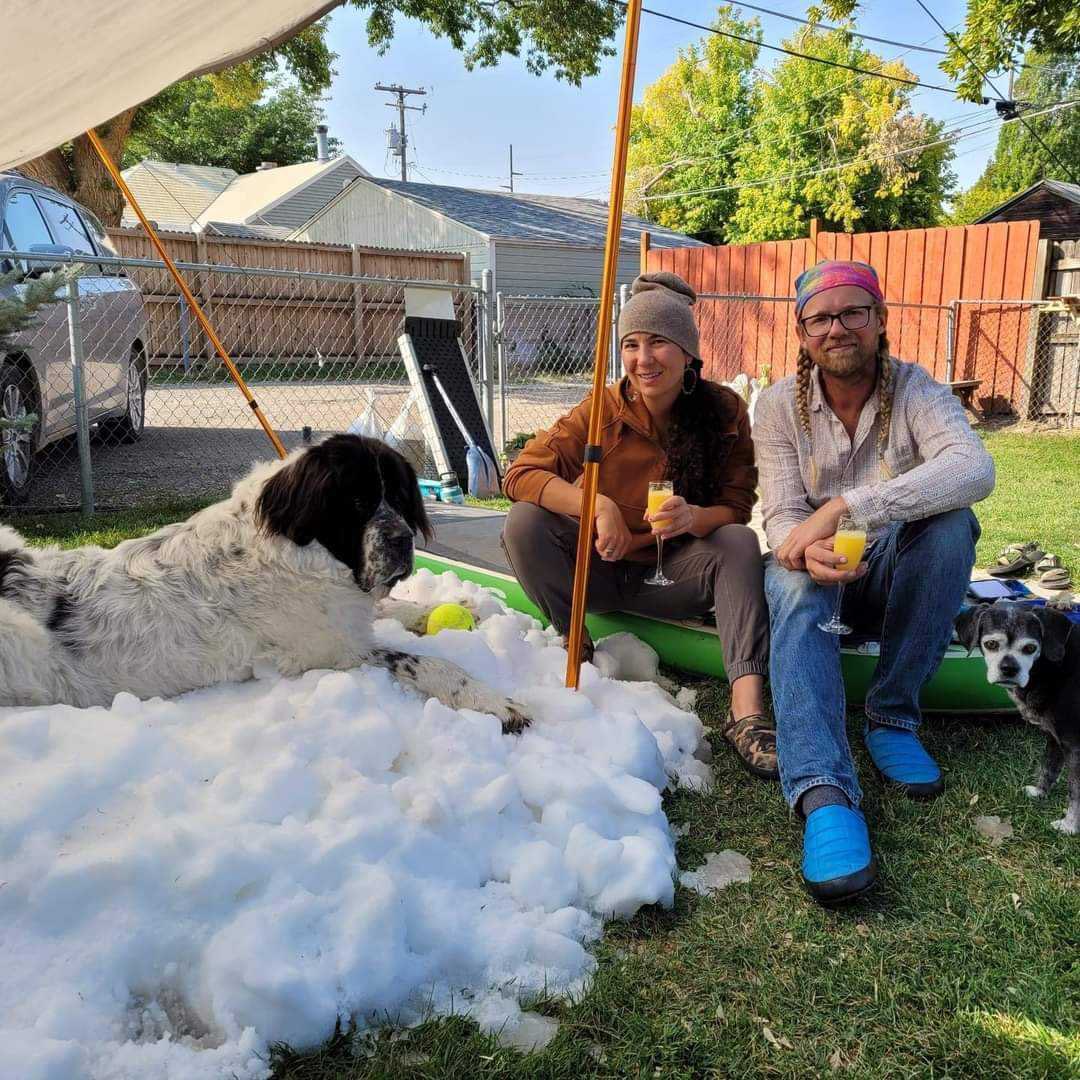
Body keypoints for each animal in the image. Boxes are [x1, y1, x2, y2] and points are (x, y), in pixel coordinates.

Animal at [0, 432, 529, 734]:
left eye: (398, 497)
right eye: (357, 502)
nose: (401, 541)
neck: (297, 548)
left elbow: (391, 610)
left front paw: (463, 606)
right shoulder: (327, 654)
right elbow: (427, 662)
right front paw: (495, 702)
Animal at [959, 600, 1075, 833]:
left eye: (1030, 648)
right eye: (991, 644)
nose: (1009, 668)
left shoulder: (1075, 746)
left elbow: (1074, 793)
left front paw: (1069, 826)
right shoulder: (1055, 738)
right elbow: (1048, 768)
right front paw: (1039, 793)